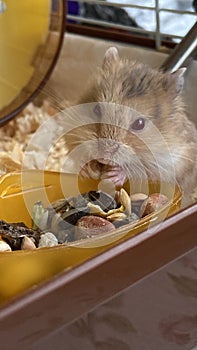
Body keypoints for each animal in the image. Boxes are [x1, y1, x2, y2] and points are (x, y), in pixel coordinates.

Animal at [65, 46, 197, 205]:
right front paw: (85, 168)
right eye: (96, 109)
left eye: (139, 124)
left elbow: (140, 171)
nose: (104, 155)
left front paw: (115, 175)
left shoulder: (164, 166)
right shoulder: (71, 133)